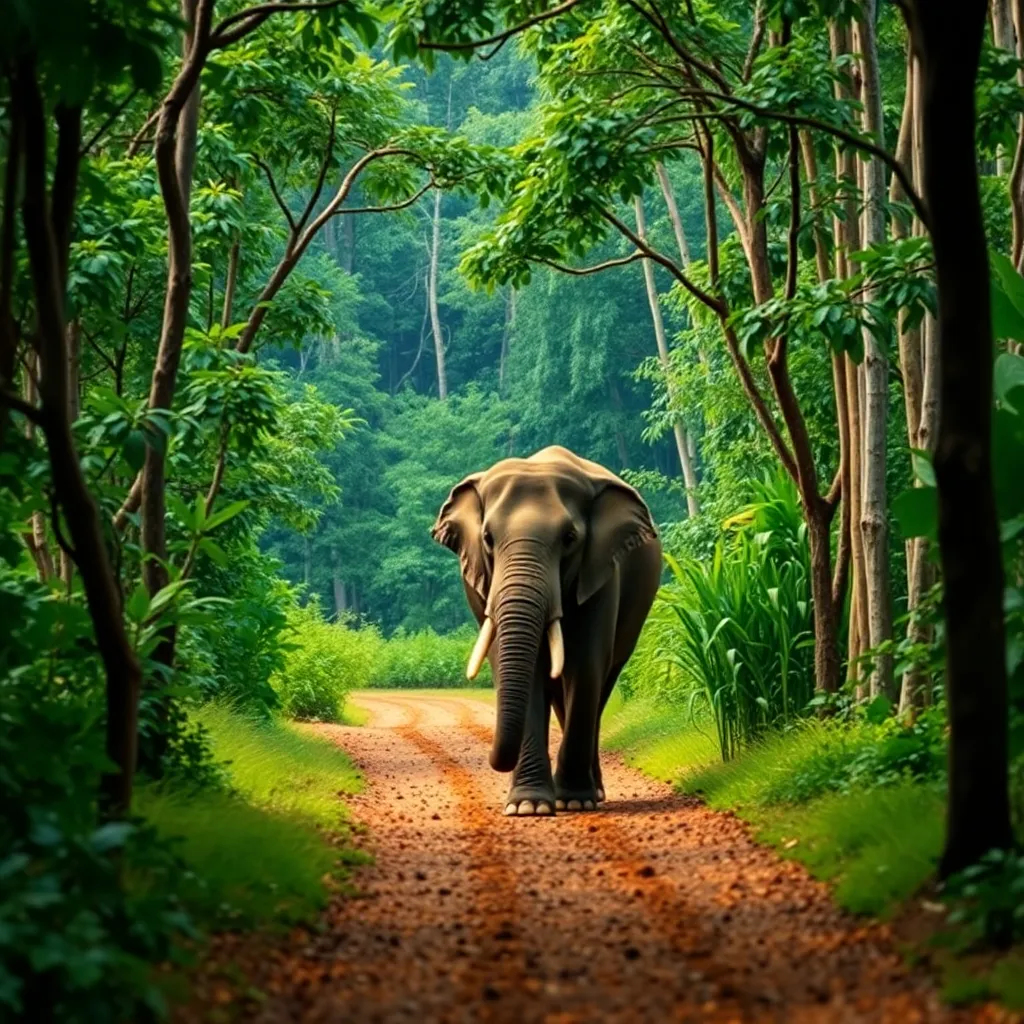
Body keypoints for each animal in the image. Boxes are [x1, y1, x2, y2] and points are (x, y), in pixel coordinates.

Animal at [431, 445, 663, 817]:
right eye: (487, 538)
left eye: (570, 539)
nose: (494, 761)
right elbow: (519, 667)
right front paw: (528, 806)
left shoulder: (600, 572)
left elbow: (585, 665)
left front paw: (574, 801)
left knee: (600, 683)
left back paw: (593, 792)